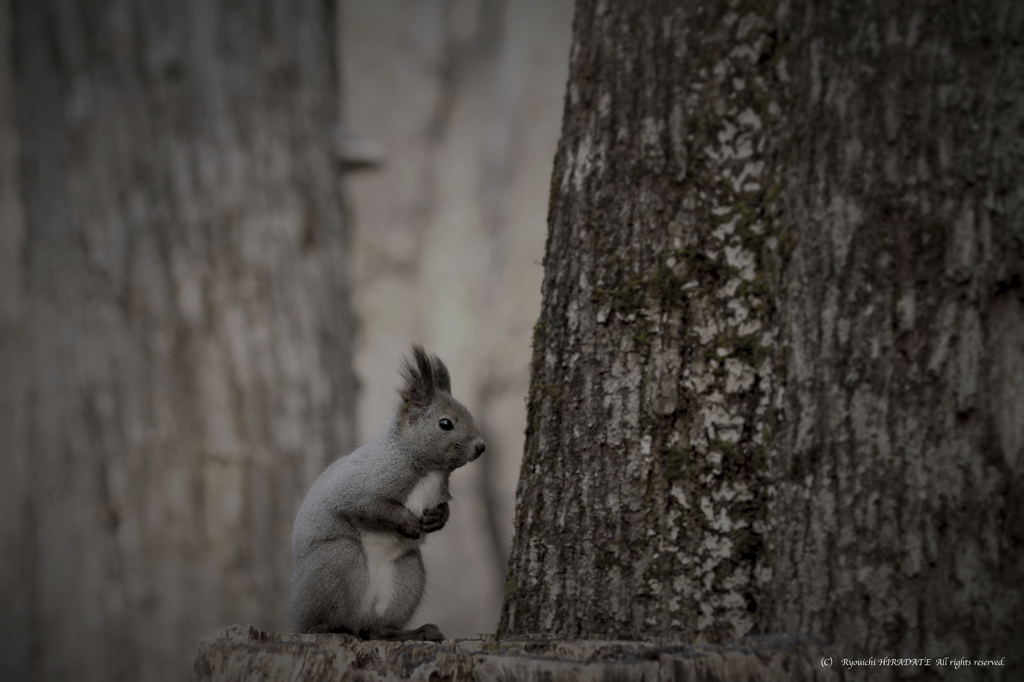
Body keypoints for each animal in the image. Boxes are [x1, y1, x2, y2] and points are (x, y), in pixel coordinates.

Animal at [284, 346, 483, 638]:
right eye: (445, 424)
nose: (481, 446)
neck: (427, 469)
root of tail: (360, 624)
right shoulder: (362, 487)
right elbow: (373, 507)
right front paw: (408, 522)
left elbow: (445, 508)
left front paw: (436, 519)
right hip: (337, 561)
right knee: (326, 621)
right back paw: (329, 629)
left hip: (407, 574)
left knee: (380, 631)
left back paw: (413, 632)